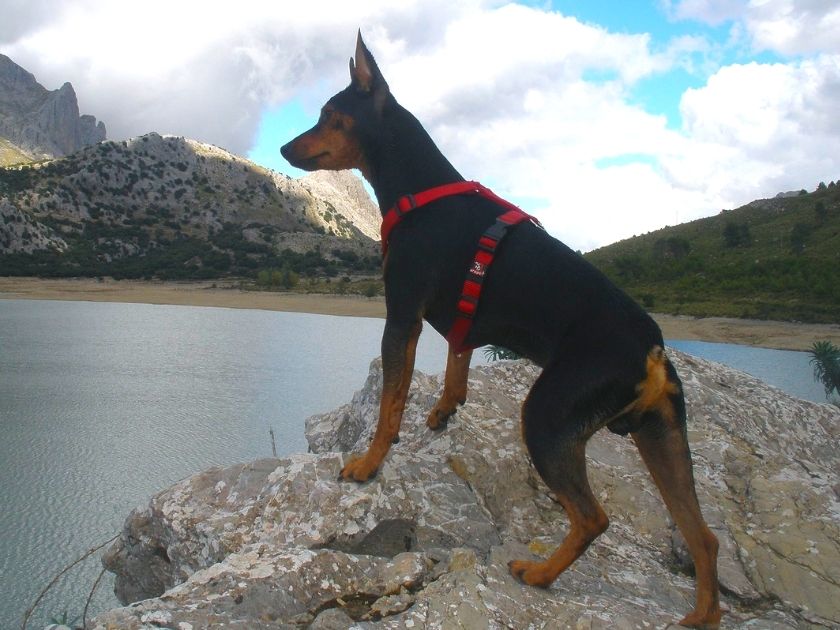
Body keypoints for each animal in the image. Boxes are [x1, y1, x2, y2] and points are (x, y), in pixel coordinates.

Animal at [284, 33, 720, 628]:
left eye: (330, 116)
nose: (285, 149)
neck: (421, 187)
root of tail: (650, 351)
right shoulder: (459, 323)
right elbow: (457, 359)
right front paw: (445, 408)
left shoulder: (401, 313)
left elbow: (391, 400)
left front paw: (371, 462)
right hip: (663, 436)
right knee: (704, 538)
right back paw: (702, 615)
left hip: (547, 417)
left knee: (594, 518)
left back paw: (539, 574)